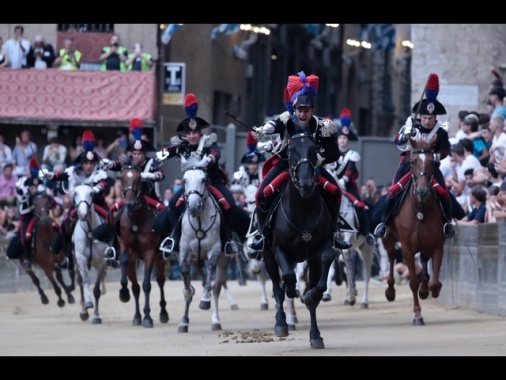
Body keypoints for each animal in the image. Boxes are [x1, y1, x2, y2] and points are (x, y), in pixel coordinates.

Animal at [71, 183, 109, 324]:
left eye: (91, 193)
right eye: (75, 193)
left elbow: (97, 290)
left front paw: (96, 316)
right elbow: (86, 281)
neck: (91, 232)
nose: (82, 213)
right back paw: (83, 311)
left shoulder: (102, 263)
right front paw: (87, 303)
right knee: (80, 282)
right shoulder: (81, 259)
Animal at [116, 165, 168, 328]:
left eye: (139, 179)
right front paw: (123, 293)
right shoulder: (126, 247)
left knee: (160, 282)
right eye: (121, 178)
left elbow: (147, 285)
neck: (136, 221)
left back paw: (163, 313)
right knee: (136, 287)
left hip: (159, 258)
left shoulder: (149, 253)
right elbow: (125, 262)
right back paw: (137, 316)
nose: (130, 203)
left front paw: (148, 317)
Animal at [260, 125, 336, 350]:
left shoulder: (321, 250)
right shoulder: (278, 250)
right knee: (277, 288)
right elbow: (287, 279)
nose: (306, 184)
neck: (302, 208)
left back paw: (315, 335)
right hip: (267, 255)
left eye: (314, 149)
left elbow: (318, 284)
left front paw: (310, 296)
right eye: (291, 150)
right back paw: (281, 323)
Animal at [382, 132, 444, 326]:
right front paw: (417, 315)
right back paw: (390, 291)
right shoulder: (407, 248)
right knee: (391, 256)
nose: (422, 191)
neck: (420, 209)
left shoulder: (437, 244)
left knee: (423, 262)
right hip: (388, 238)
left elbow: (434, 281)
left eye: (433, 161)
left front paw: (431, 290)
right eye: (413, 161)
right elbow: (413, 282)